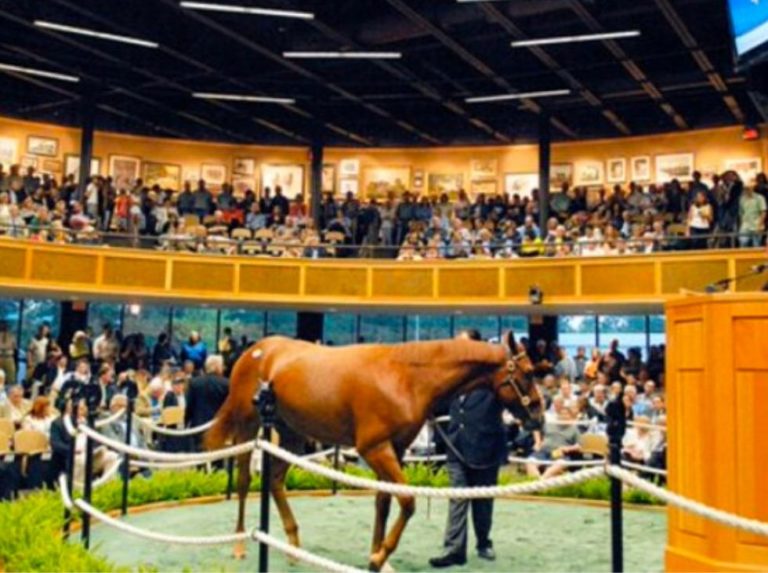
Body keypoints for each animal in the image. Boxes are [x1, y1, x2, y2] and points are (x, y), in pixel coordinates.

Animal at [205, 333, 542, 571]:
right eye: (526, 372)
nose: (537, 416)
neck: (405, 377)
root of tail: (256, 350)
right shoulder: (374, 448)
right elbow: (406, 501)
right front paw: (378, 558)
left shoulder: (396, 449)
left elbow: (384, 501)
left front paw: (378, 556)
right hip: (249, 427)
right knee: (244, 480)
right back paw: (239, 544)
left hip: (293, 434)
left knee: (275, 480)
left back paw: (294, 548)